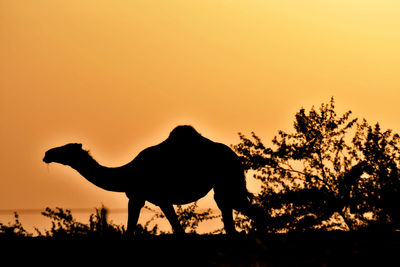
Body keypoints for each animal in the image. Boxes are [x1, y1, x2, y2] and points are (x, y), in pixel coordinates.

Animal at [43, 126, 266, 237]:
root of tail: (236, 159)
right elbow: (177, 229)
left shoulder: (143, 196)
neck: (127, 173)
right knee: (229, 211)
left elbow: (132, 229)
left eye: (66, 148)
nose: (47, 153)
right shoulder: (154, 199)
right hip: (224, 184)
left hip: (227, 178)